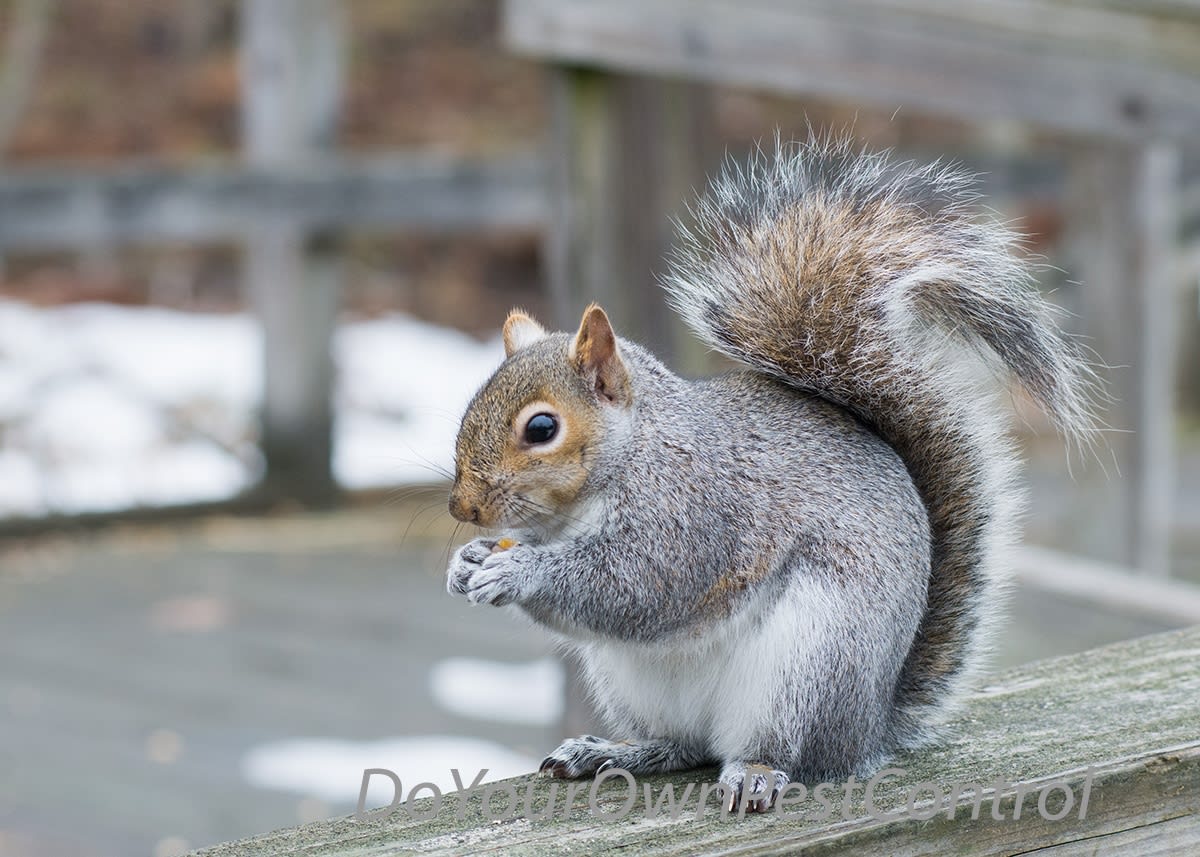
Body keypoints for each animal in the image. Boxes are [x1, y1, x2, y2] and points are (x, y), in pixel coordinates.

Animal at [444, 135, 1099, 806]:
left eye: (541, 429)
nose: (462, 508)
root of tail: (869, 728)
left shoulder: (697, 511)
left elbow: (637, 584)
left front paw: (517, 570)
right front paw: (466, 562)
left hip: (808, 667)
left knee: (787, 753)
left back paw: (756, 772)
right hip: (633, 683)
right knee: (682, 746)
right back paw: (613, 750)